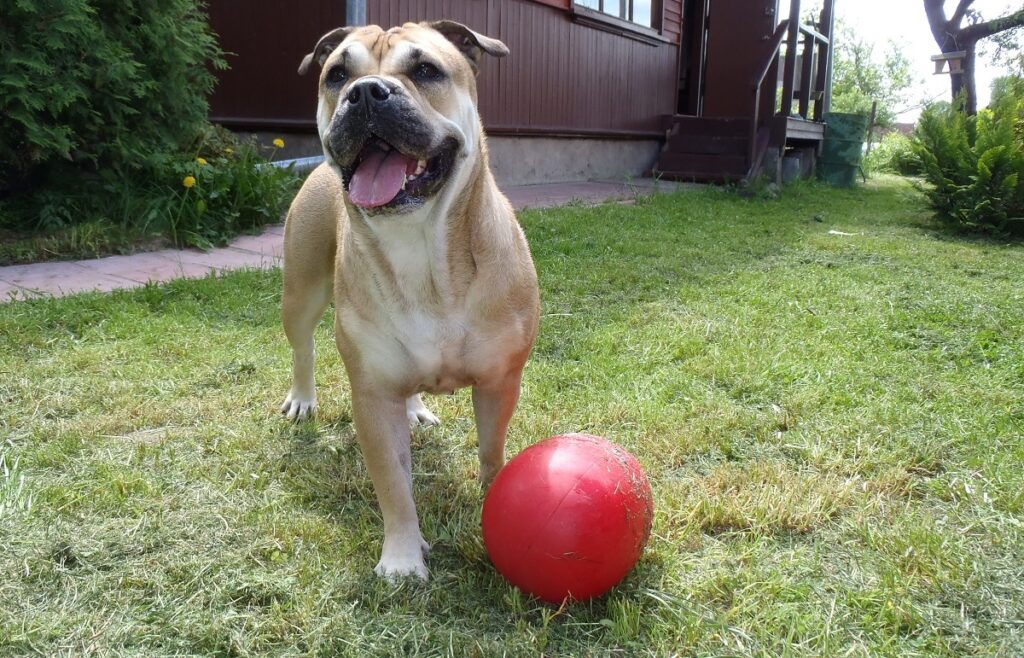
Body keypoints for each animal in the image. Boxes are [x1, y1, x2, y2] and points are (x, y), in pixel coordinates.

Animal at [276, 20, 540, 581]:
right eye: (336, 75)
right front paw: (401, 556)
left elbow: (492, 450)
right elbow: (393, 483)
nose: (364, 92)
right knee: (303, 346)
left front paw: (494, 501)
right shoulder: (373, 397)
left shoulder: (499, 381)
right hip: (301, 289)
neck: (420, 246)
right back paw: (304, 398)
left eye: (426, 70)